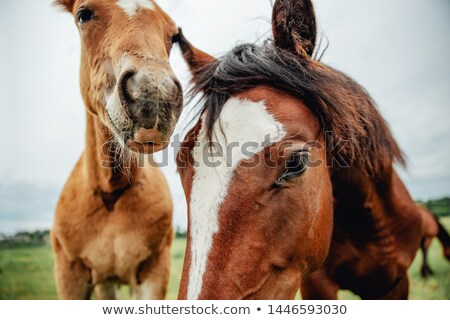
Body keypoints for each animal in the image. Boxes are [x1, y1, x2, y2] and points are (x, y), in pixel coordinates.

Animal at [54, 0, 183, 300]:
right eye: (83, 15)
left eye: (174, 36)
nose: (154, 93)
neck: (111, 193)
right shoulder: (69, 275)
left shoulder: (154, 272)